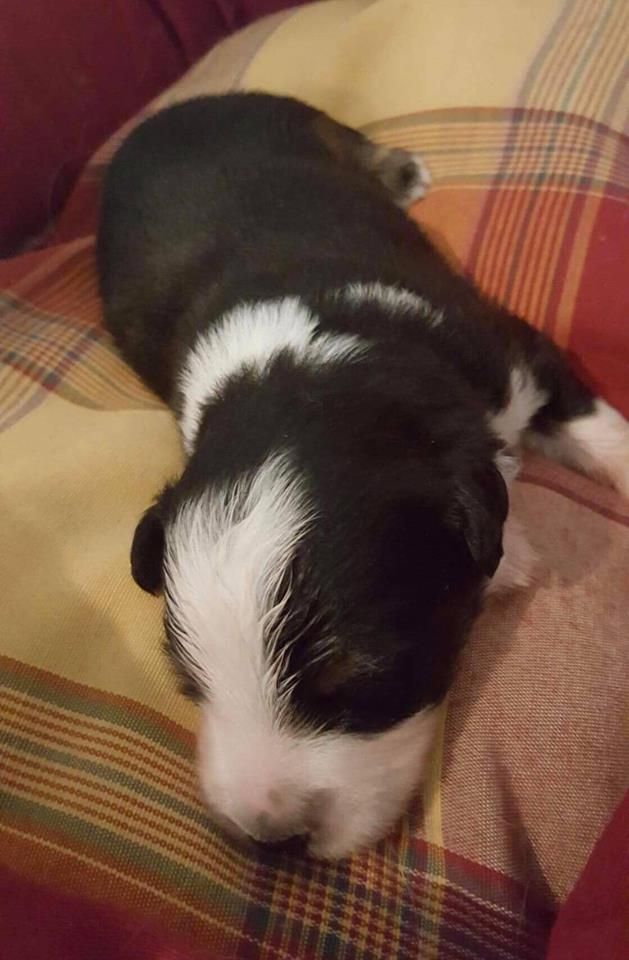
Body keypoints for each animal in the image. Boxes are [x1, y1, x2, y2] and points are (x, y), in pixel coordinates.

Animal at [98, 92, 629, 859]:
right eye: (188, 682)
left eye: (360, 684)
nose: (272, 841)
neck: (317, 363)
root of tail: (168, 113)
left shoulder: (512, 351)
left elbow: (599, 428)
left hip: (303, 121)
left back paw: (403, 172)